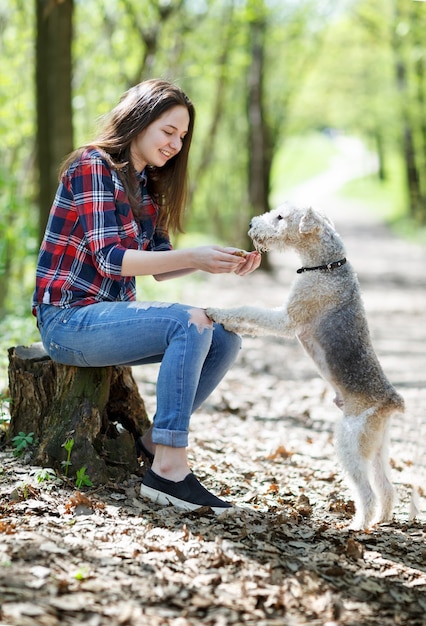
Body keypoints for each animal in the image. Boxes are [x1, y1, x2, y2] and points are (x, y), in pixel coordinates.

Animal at [208, 204, 404, 528]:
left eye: (280, 217)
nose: (251, 224)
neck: (327, 266)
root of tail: (392, 401)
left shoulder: (287, 320)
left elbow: (250, 310)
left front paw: (218, 312)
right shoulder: (286, 318)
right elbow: (253, 321)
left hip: (349, 443)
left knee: (367, 493)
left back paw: (358, 525)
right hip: (377, 447)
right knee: (387, 488)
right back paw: (382, 521)